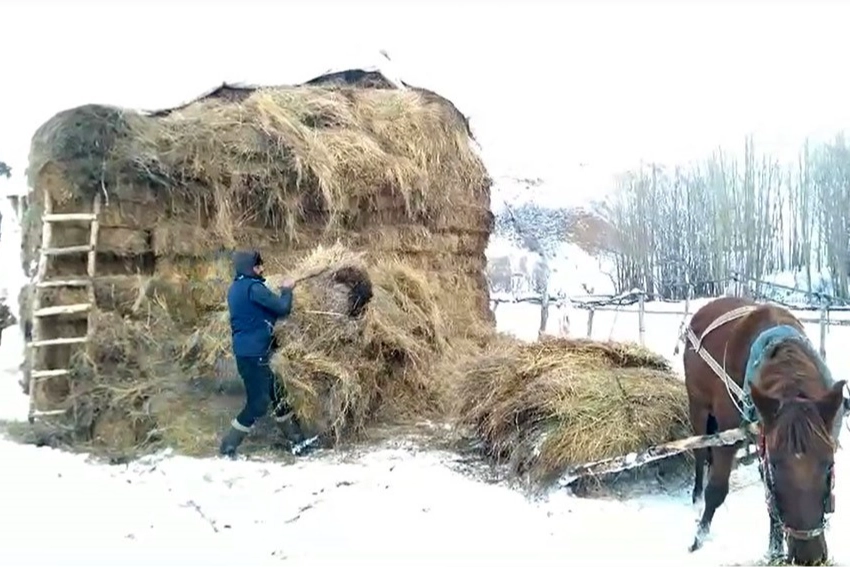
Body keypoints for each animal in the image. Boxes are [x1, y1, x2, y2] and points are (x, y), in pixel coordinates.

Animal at [682, 296, 846, 564]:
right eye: (777, 466)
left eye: (829, 464)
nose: (809, 557)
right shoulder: (729, 436)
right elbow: (716, 490)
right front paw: (698, 539)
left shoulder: (765, 439)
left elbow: (770, 501)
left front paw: (774, 549)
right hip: (698, 406)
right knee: (700, 452)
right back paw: (696, 495)